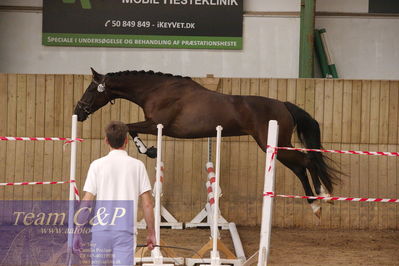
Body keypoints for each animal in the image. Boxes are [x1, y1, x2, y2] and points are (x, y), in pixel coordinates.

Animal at [74, 67, 340, 217]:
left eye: (91, 89)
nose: (79, 111)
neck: (156, 90)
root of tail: (284, 105)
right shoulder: (154, 124)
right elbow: (128, 128)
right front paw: (149, 149)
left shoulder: (156, 124)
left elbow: (128, 127)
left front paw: (148, 150)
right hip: (275, 147)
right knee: (301, 166)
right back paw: (315, 205)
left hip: (273, 145)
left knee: (307, 161)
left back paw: (321, 198)